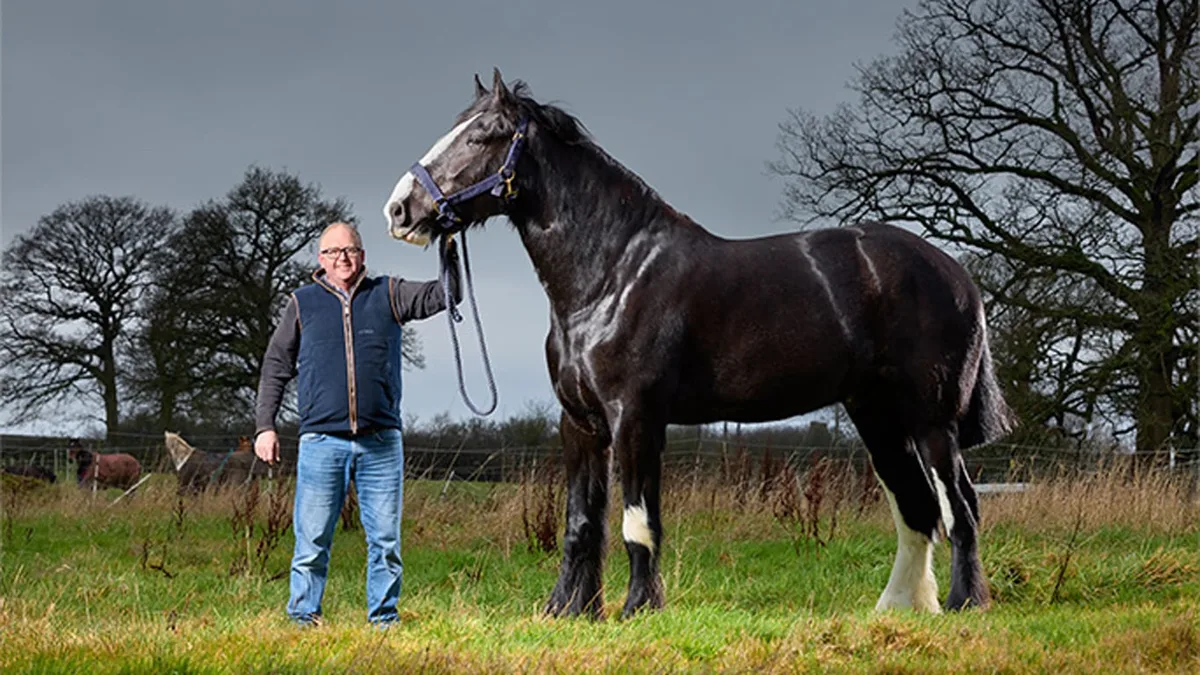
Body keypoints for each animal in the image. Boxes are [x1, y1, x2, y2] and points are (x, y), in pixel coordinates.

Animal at [382, 69, 1015, 619]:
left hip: (932, 421)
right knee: (917, 510)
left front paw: (638, 609)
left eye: (482, 135)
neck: (612, 272)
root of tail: (955, 274)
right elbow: (581, 522)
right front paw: (568, 610)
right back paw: (898, 608)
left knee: (960, 508)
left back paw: (964, 603)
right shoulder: (579, 423)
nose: (400, 209)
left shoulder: (636, 417)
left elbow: (638, 523)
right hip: (878, 419)